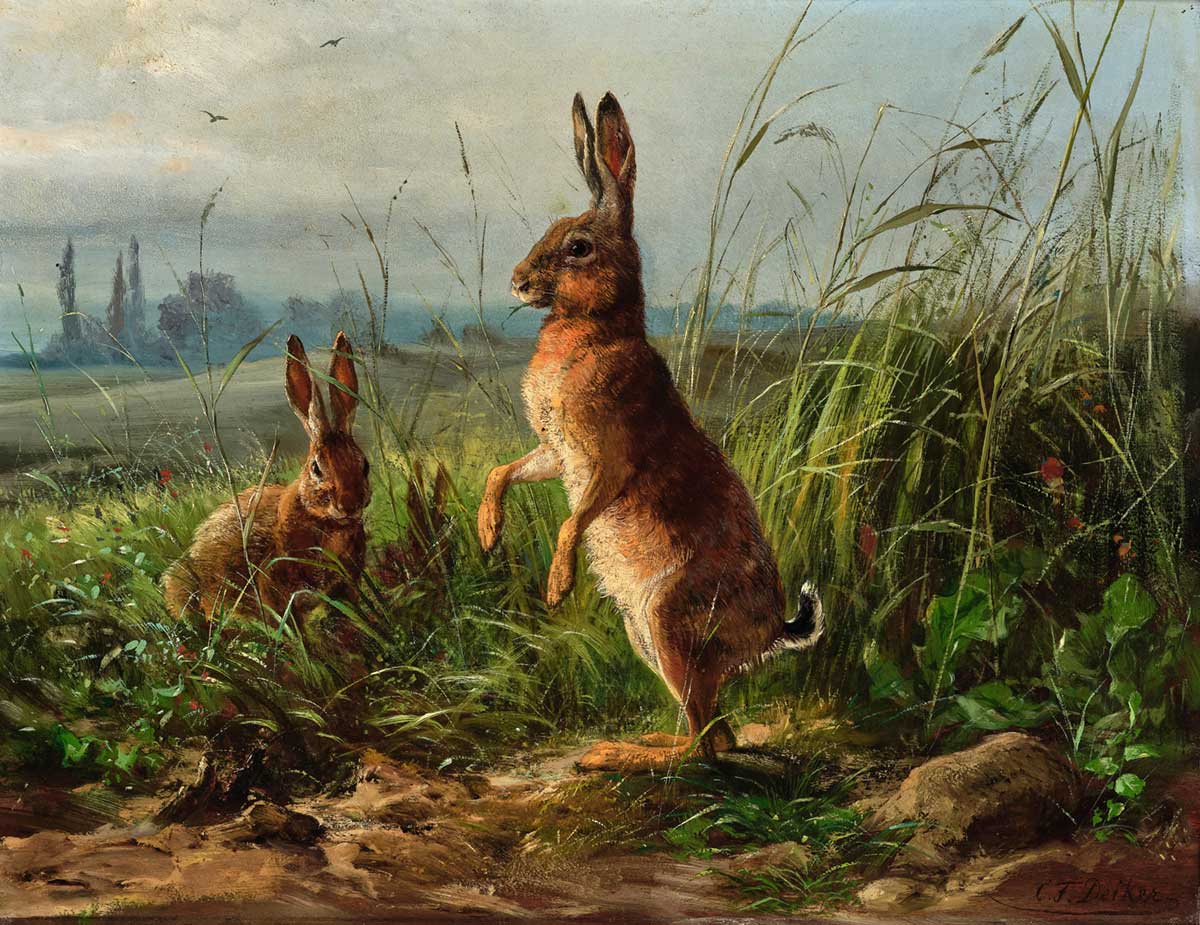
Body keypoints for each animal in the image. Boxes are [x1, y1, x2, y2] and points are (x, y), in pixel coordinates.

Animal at [477, 92, 824, 772]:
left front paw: (557, 587)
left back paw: (616, 755)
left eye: (578, 247)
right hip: (648, 637)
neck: (594, 333)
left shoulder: (609, 461)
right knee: (715, 735)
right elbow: (503, 471)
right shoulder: (557, 453)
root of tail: (773, 633)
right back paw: (638, 745)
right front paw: (488, 530)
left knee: (705, 748)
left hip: (669, 624)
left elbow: (573, 519)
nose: (517, 281)